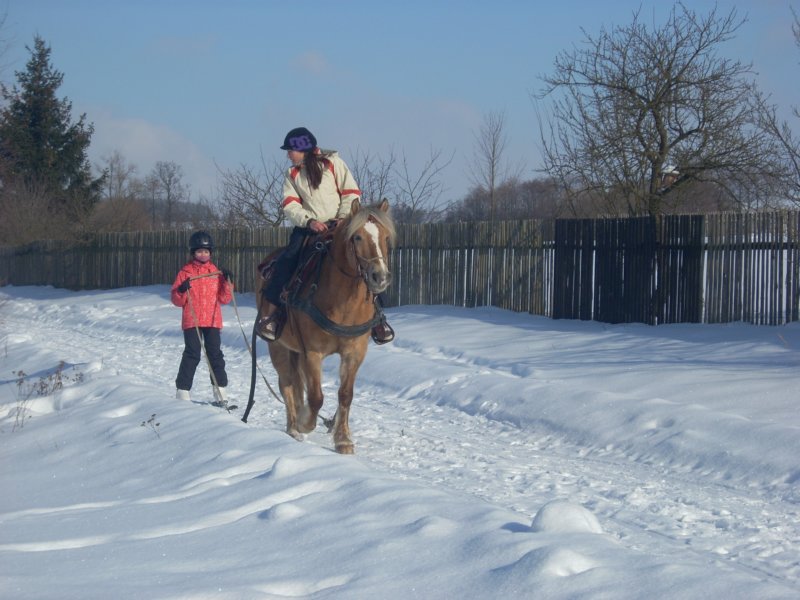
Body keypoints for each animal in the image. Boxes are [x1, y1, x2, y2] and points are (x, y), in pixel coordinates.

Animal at [248, 199, 396, 452]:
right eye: (357, 237)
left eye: (385, 237)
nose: (380, 277)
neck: (342, 302)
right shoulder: (312, 353)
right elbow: (316, 397)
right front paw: (306, 422)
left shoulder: (354, 352)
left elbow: (345, 394)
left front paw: (343, 440)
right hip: (278, 347)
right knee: (286, 383)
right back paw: (293, 428)